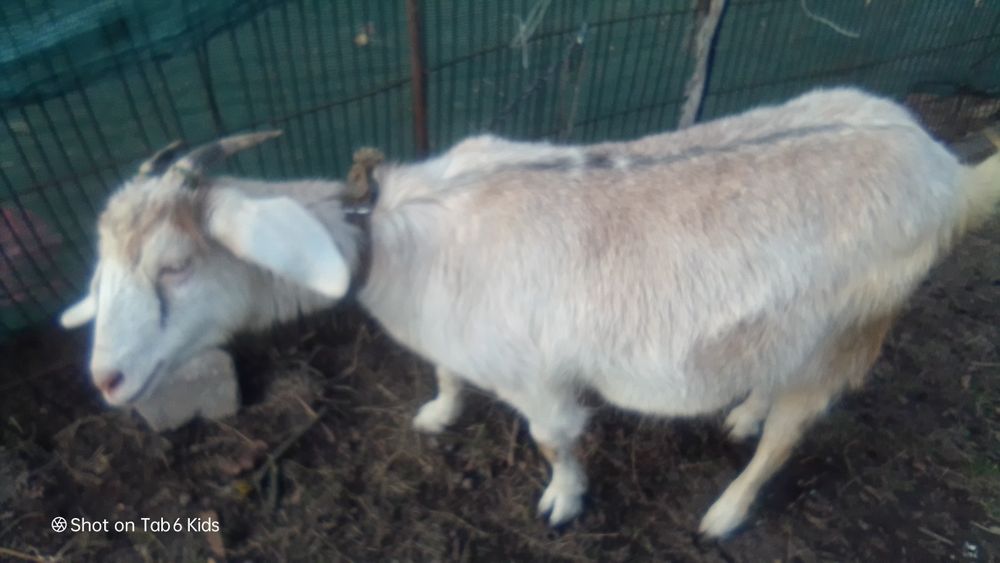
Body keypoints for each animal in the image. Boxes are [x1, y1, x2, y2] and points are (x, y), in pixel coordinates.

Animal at [60, 87, 1000, 537]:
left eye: (176, 265)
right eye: (103, 264)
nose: (105, 378)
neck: (398, 241)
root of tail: (947, 171)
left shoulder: (541, 377)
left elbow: (554, 440)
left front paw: (563, 501)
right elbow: (445, 370)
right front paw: (438, 412)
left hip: (855, 328)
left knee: (793, 431)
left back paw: (728, 510)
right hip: (800, 326)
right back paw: (741, 409)